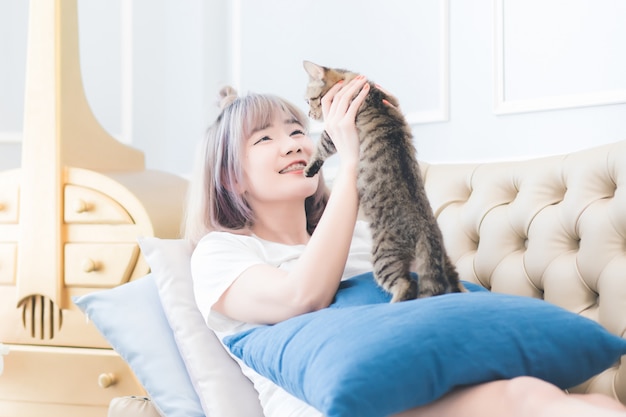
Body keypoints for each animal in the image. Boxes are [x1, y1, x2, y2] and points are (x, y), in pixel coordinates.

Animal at [302, 60, 464, 300]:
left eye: (307, 101)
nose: (309, 114)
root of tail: (428, 233)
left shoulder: (333, 129)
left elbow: (320, 146)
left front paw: (309, 167)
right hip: (443, 263)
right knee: (455, 283)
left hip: (384, 257)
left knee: (406, 286)